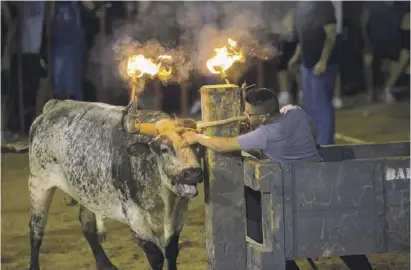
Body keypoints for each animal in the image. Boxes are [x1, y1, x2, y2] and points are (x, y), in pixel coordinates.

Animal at [27, 99, 204, 270]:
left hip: (86, 192)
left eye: (196, 145)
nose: (193, 172)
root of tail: (53, 105)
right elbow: (156, 257)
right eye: (164, 149)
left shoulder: (177, 219)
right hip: (38, 184)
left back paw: (105, 264)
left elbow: (171, 252)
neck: (164, 200)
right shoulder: (137, 220)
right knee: (36, 228)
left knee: (87, 226)